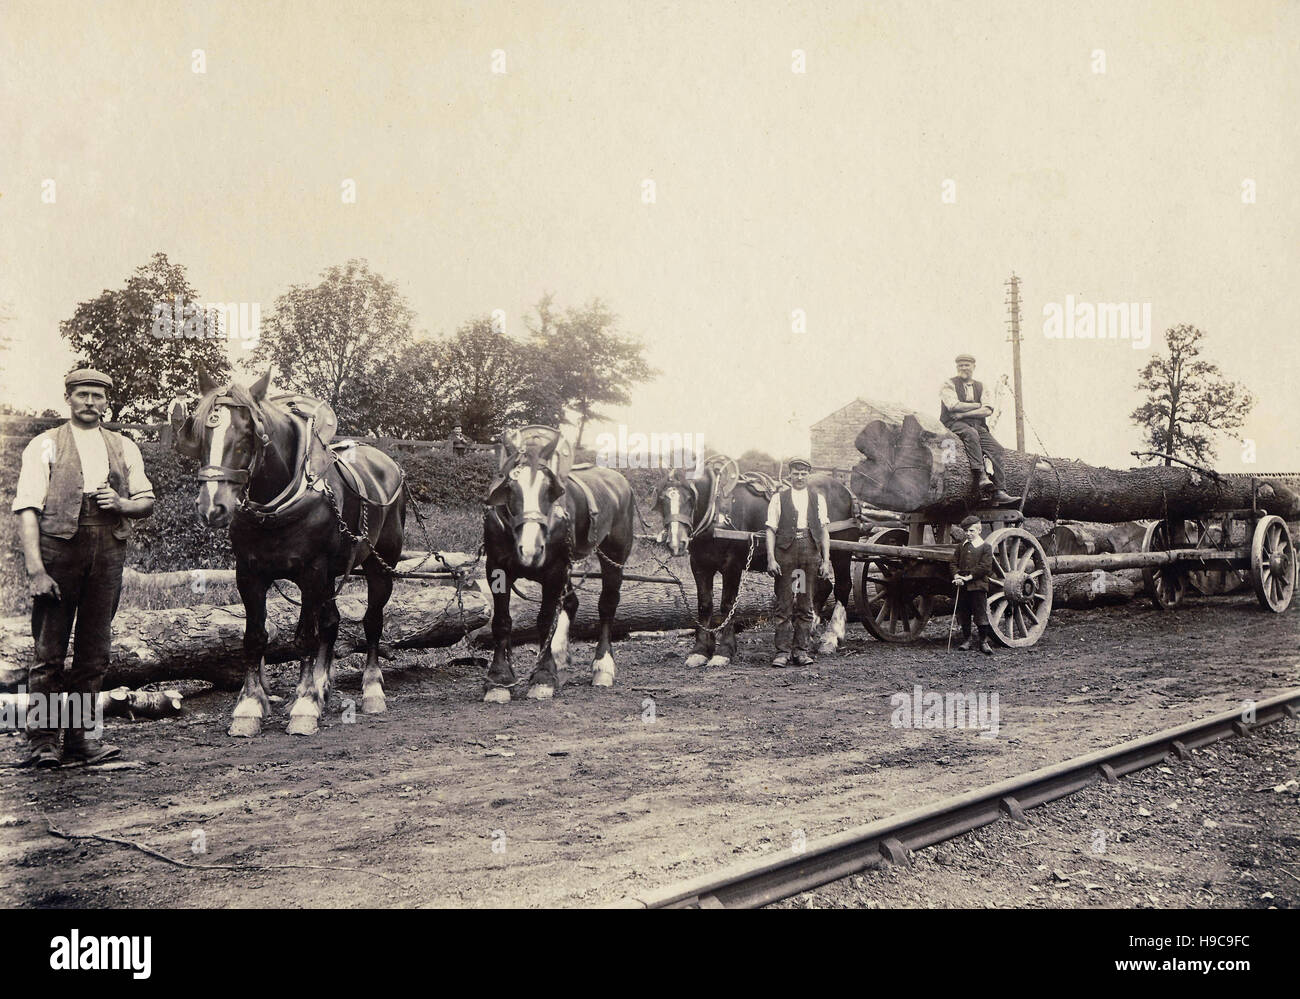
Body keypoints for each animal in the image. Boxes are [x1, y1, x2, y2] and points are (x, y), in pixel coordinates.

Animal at [483, 429, 634, 702]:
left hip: (614, 555)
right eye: (510, 488)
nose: (531, 549)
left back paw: (602, 666)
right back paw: (560, 661)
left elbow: (544, 621)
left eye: (549, 490)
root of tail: (619, 480)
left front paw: (542, 677)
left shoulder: (553, 570)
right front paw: (499, 680)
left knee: (607, 604)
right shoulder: (496, 568)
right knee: (571, 602)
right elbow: (501, 622)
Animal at [647, 457, 852, 663]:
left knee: (843, 586)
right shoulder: (699, 565)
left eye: (690, 498)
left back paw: (831, 637)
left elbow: (727, 605)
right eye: (663, 499)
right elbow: (704, 605)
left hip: (842, 552)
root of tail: (843, 489)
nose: (676, 542)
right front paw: (700, 651)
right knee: (823, 586)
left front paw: (724, 652)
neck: (717, 511)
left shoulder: (732, 565)